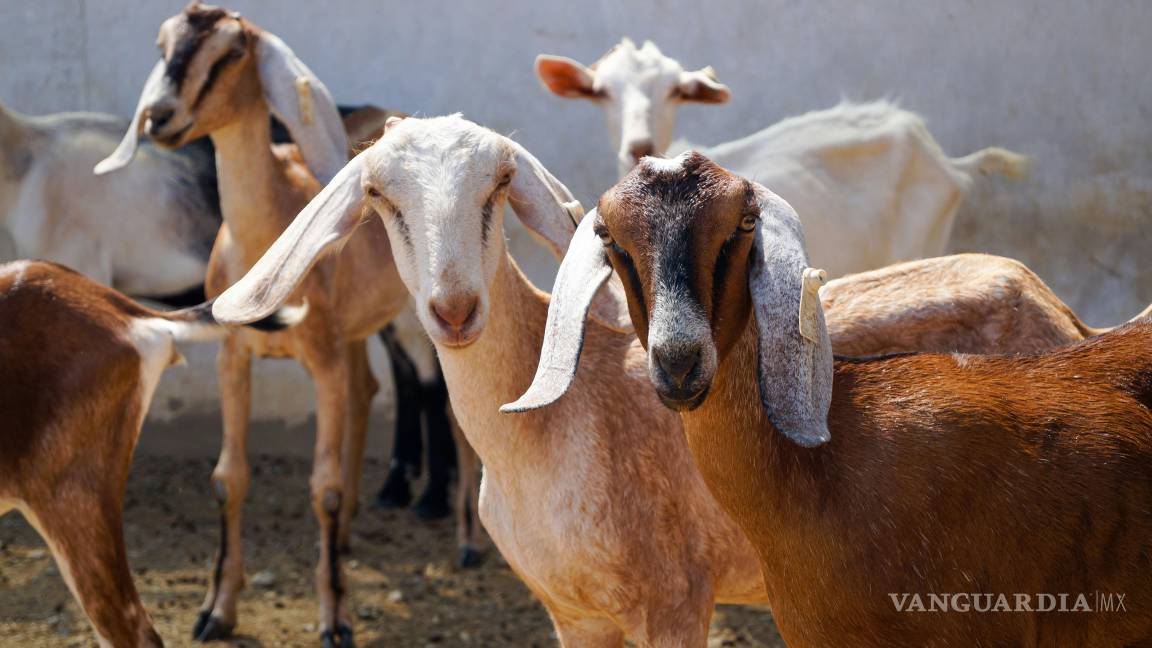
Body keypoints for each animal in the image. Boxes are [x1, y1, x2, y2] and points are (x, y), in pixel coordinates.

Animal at [94, 5, 412, 641]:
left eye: (232, 52)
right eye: (163, 45)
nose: (160, 116)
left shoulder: (322, 360)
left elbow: (324, 488)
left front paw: (335, 620)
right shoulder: (233, 357)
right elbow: (228, 478)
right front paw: (216, 611)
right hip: (355, 335)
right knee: (367, 390)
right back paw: (346, 541)